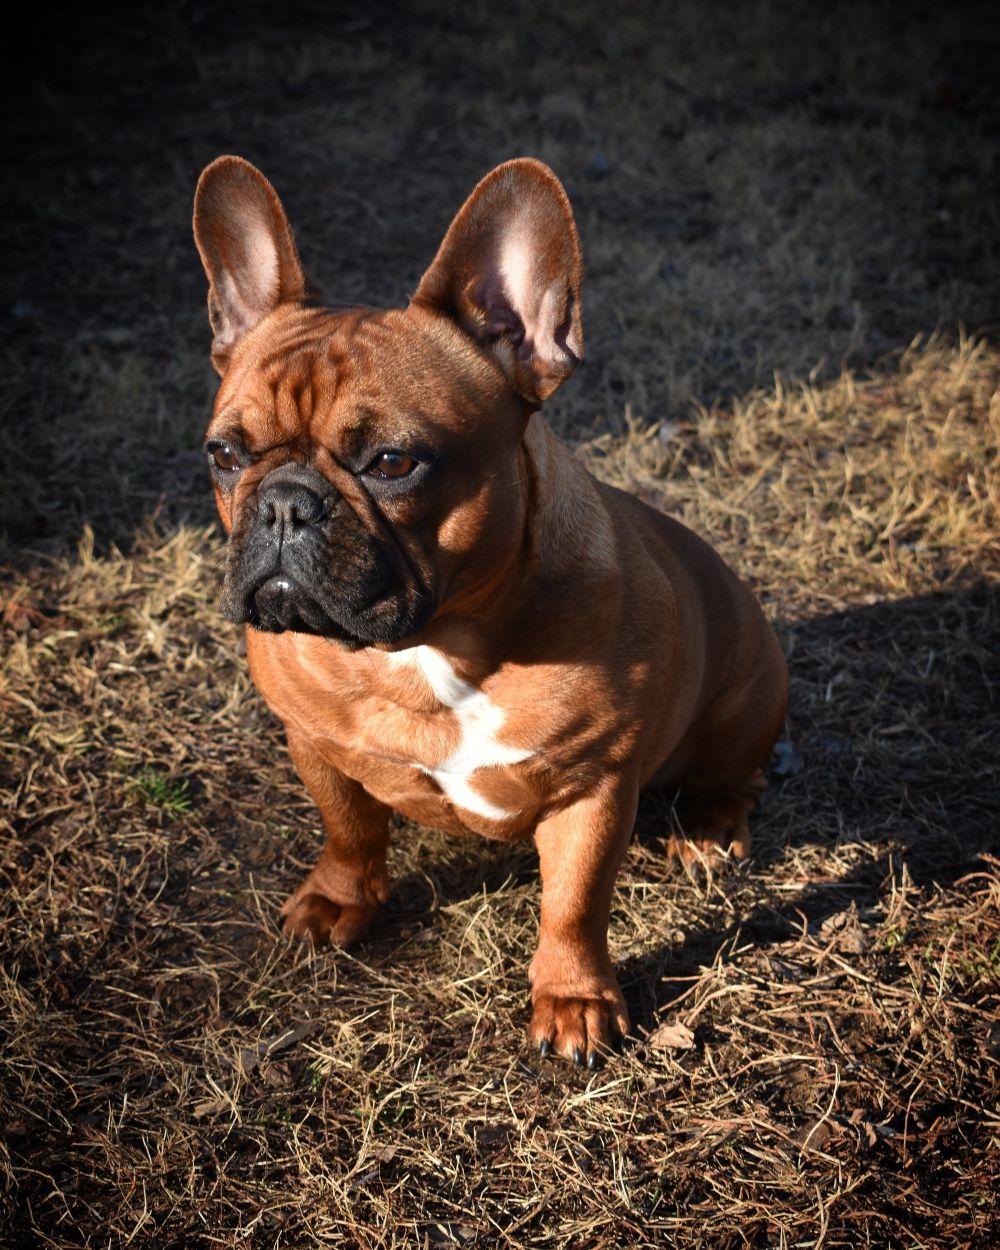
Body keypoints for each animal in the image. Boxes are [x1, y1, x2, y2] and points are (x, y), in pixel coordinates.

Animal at [193, 156, 790, 1070]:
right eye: (225, 455)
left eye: (393, 462)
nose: (286, 504)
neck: (427, 651)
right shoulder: (314, 742)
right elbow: (348, 830)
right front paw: (338, 901)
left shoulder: (593, 792)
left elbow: (574, 905)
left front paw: (574, 1001)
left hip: (743, 698)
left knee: (736, 775)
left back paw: (710, 830)